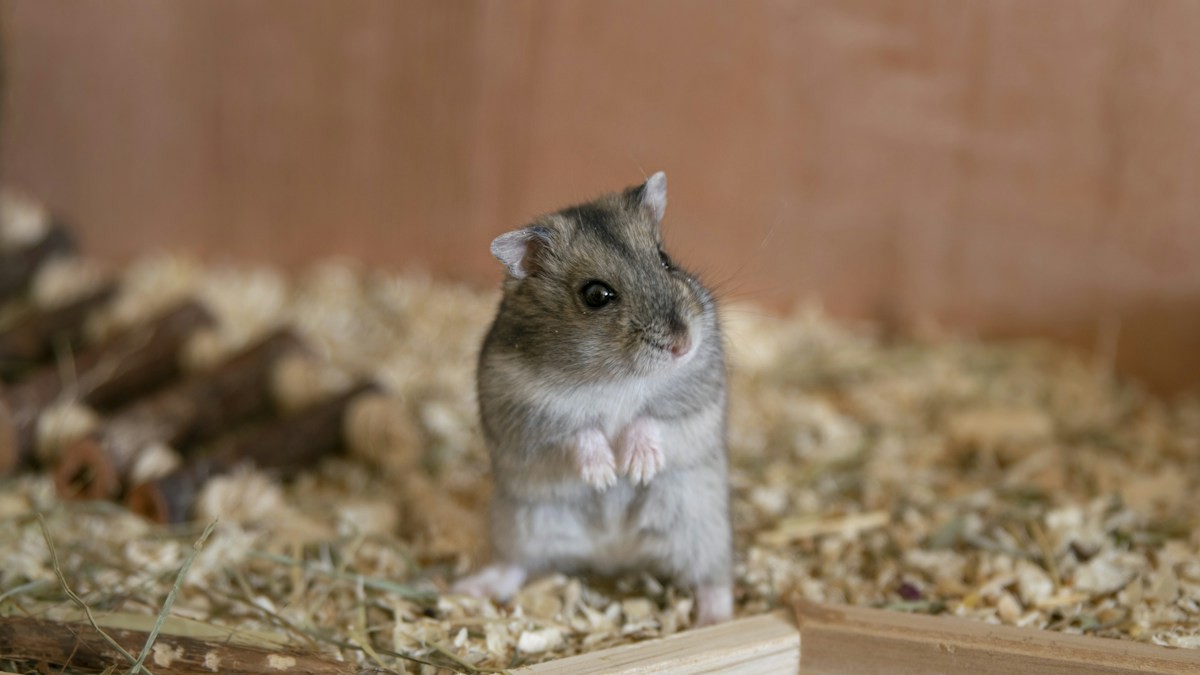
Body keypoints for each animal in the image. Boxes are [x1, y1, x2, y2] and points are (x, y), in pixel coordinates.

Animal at [453, 172, 733, 626]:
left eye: (665, 259)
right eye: (596, 295)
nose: (683, 345)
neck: (615, 376)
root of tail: (613, 554)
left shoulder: (697, 396)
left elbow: (651, 418)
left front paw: (636, 468)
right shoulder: (525, 413)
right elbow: (577, 431)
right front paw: (604, 476)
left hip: (703, 526)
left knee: (714, 578)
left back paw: (714, 620)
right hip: (521, 524)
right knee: (514, 564)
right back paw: (469, 588)